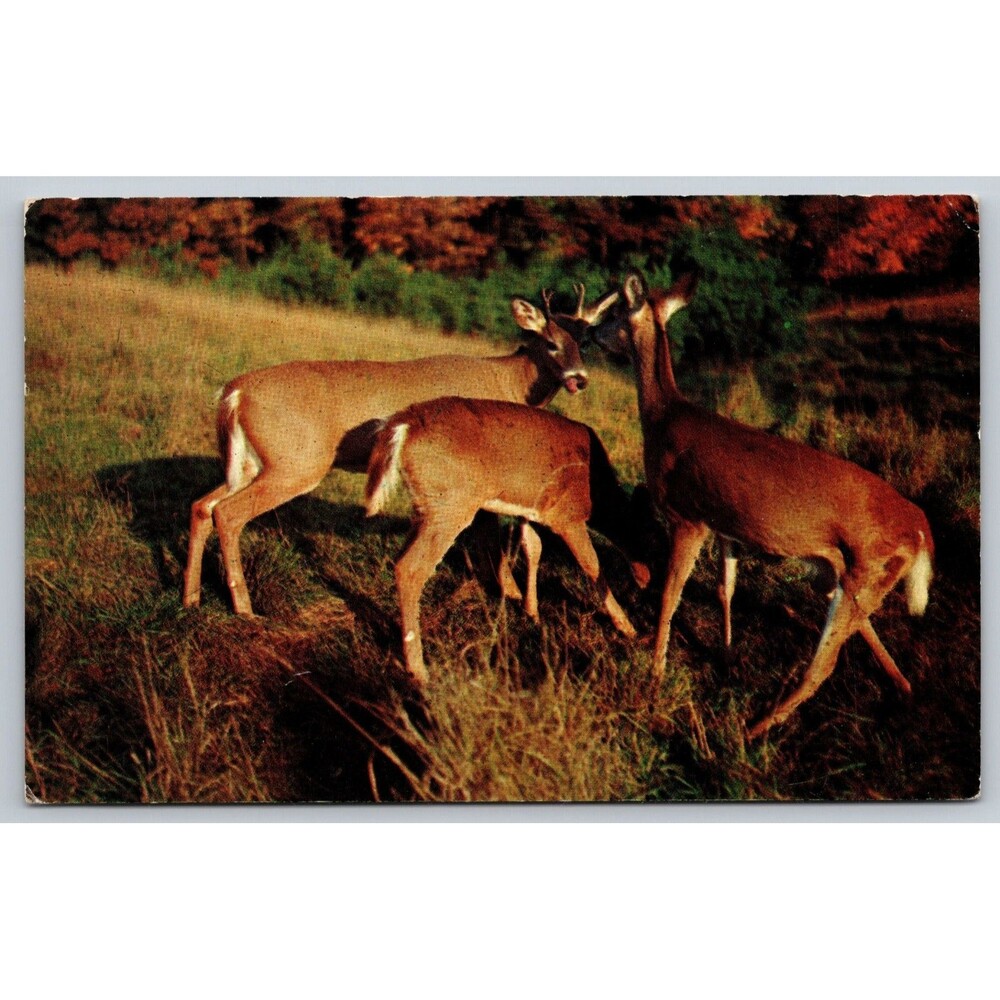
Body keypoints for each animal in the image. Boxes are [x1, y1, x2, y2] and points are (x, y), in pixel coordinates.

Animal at [182, 285, 619, 618]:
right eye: (550, 343)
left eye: (584, 343)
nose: (579, 379)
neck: (509, 383)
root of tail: (234, 392)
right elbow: (487, 536)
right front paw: (509, 594)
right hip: (296, 462)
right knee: (228, 513)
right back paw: (244, 609)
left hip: (250, 463)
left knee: (202, 505)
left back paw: (191, 597)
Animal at [364, 396, 652, 683]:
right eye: (653, 540)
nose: (646, 580)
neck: (599, 496)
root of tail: (403, 426)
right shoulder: (567, 517)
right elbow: (592, 565)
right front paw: (628, 627)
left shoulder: (531, 511)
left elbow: (533, 547)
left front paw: (531, 610)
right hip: (449, 502)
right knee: (411, 568)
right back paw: (418, 668)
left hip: (425, 507)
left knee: (400, 560)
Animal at [593, 270, 934, 738]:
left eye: (613, 313)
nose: (589, 332)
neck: (664, 417)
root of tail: (920, 528)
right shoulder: (725, 526)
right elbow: (726, 588)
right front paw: (726, 656)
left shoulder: (687, 517)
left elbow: (669, 595)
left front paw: (654, 676)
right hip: (845, 573)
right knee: (858, 628)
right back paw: (902, 687)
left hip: (865, 569)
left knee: (825, 662)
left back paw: (754, 728)